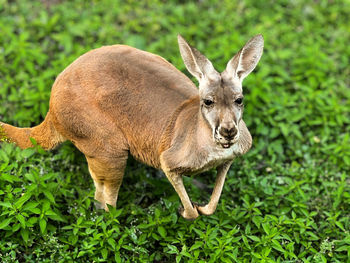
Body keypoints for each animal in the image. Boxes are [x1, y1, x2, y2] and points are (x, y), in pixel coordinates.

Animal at [0, 35, 262, 221]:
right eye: (207, 102)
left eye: (239, 100)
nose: (228, 132)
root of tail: (52, 109)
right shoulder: (169, 159)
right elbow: (184, 199)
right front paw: (187, 210)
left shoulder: (232, 155)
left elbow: (216, 194)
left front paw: (204, 206)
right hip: (103, 140)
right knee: (104, 193)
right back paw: (112, 221)